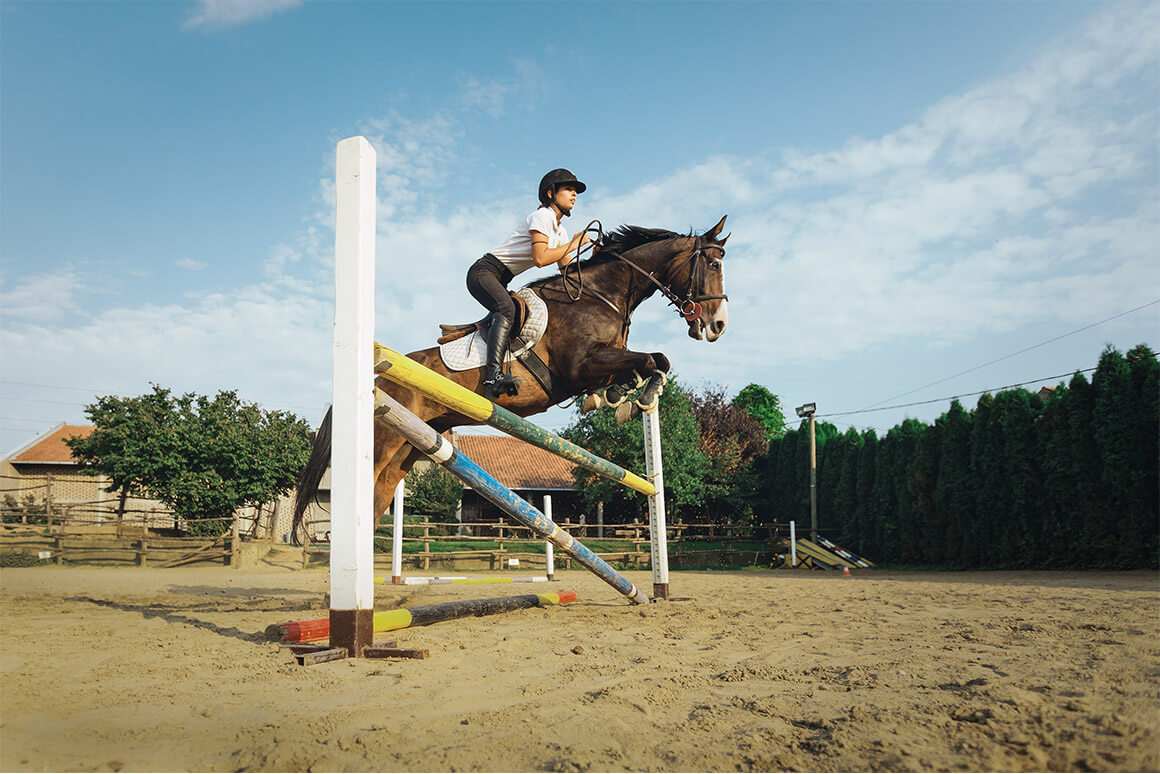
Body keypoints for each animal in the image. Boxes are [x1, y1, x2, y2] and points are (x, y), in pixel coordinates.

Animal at [291, 215, 731, 540]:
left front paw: (621, 397)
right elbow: (656, 359)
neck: (600, 295)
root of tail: (375, 377)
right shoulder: (580, 365)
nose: (718, 325)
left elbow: (651, 362)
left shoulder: (598, 365)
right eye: (713, 264)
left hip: (409, 446)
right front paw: (640, 397)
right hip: (382, 440)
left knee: (377, 498)